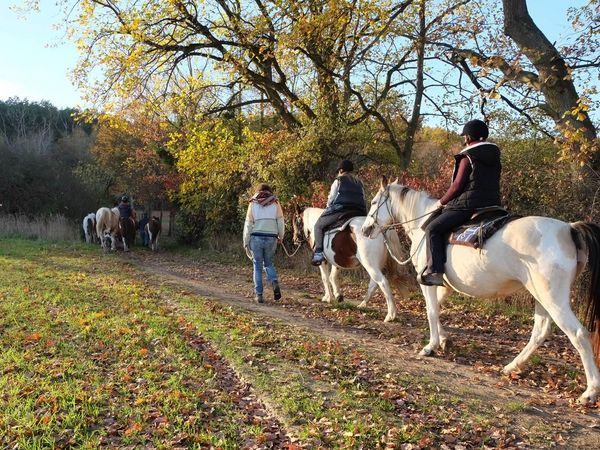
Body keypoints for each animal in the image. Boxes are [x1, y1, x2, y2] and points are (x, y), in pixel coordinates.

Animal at [360, 179, 600, 404]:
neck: (422, 223)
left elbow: (431, 311)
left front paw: (431, 346)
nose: (365, 230)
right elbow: (437, 310)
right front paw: (444, 340)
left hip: (553, 298)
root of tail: (568, 229)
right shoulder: (444, 285)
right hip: (541, 297)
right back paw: (512, 366)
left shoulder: (428, 282)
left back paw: (589, 392)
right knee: (540, 332)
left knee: (578, 334)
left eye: (374, 202)